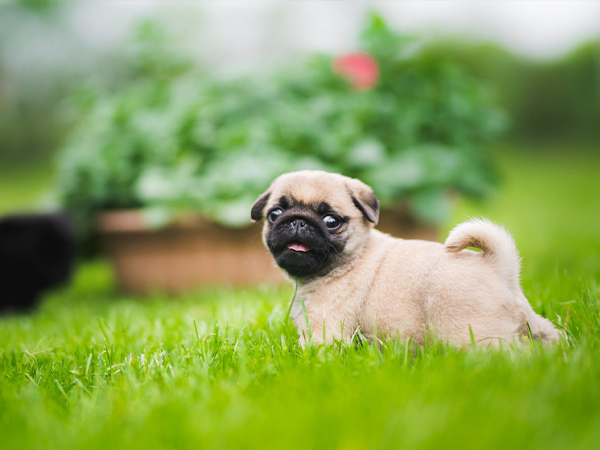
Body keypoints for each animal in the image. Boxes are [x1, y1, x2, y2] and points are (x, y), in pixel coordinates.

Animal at [251, 171, 560, 346]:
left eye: (330, 221)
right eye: (275, 214)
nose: (298, 222)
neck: (353, 257)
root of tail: (498, 265)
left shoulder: (324, 328)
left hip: (472, 331)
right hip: (530, 322)